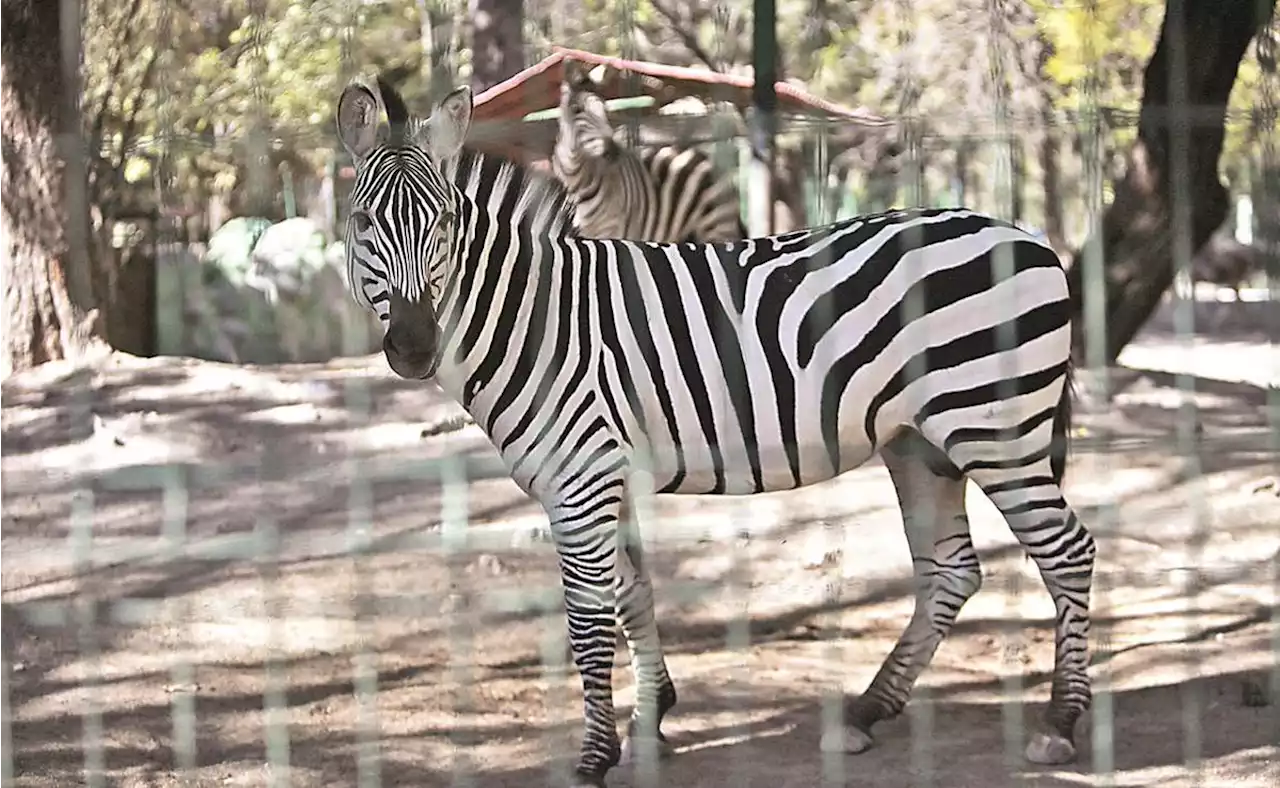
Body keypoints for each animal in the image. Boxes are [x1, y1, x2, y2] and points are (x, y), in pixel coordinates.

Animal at [552, 60, 747, 243]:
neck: (579, 181)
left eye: (604, 109)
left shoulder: (614, 229)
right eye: (577, 110)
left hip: (716, 226)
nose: (614, 151)